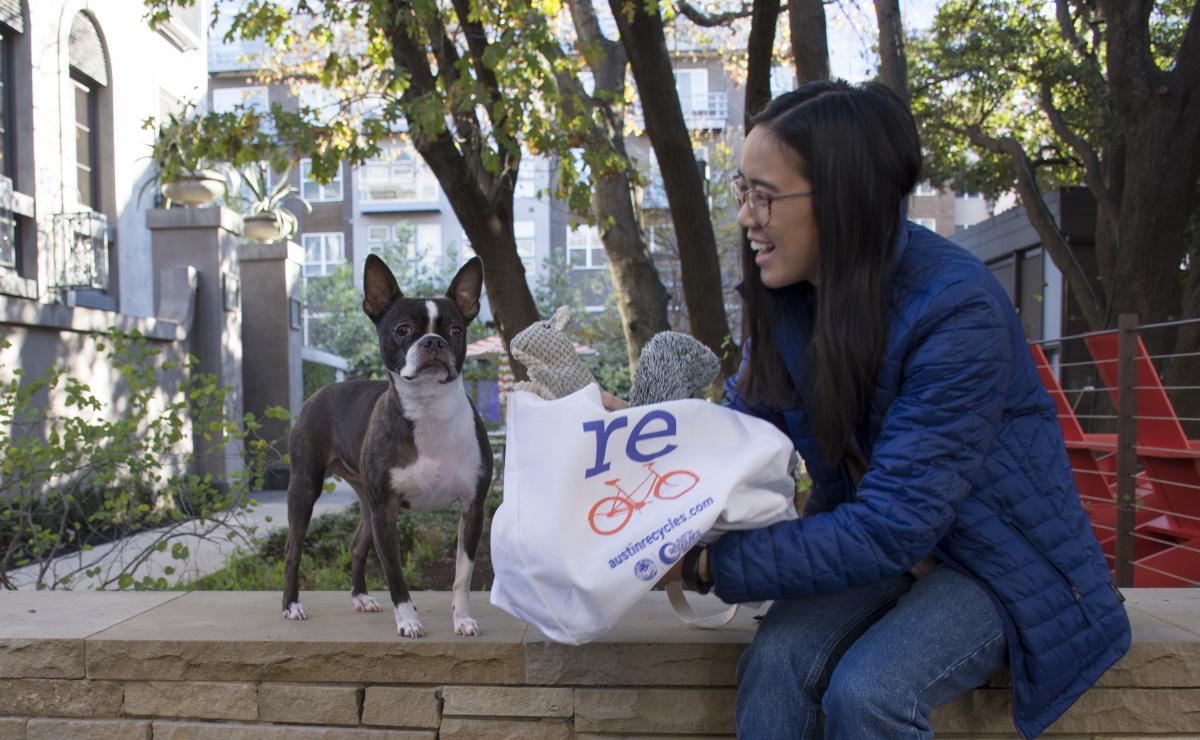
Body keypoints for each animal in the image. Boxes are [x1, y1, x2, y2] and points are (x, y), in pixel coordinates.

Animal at [280, 254, 492, 633]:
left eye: (456, 331)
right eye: (403, 330)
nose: (434, 342)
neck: (428, 410)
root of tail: (320, 391)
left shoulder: (472, 507)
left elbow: (462, 576)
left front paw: (463, 618)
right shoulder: (386, 512)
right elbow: (395, 575)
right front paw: (408, 621)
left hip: (366, 501)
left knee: (355, 545)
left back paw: (360, 597)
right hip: (305, 487)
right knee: (293, 550)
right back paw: (291, 604)